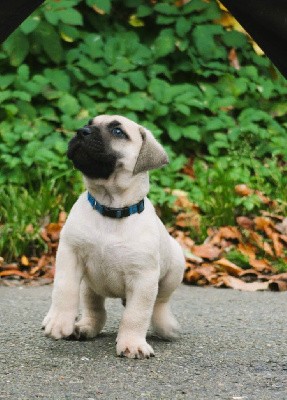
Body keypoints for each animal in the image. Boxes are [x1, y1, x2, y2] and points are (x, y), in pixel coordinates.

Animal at [43, 114, 187, 358]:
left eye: (118, 132)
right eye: (89, 123)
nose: (81, 131)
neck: (110, 206)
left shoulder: (143, 278)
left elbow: (136, 314)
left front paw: (132, 343)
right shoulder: (70, 254)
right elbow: (64, 288)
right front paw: (58, 322)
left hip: (175, 267)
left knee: (160, 303)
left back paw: (165, 325)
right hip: (89, 286)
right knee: (95, 309)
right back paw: (84, 327)